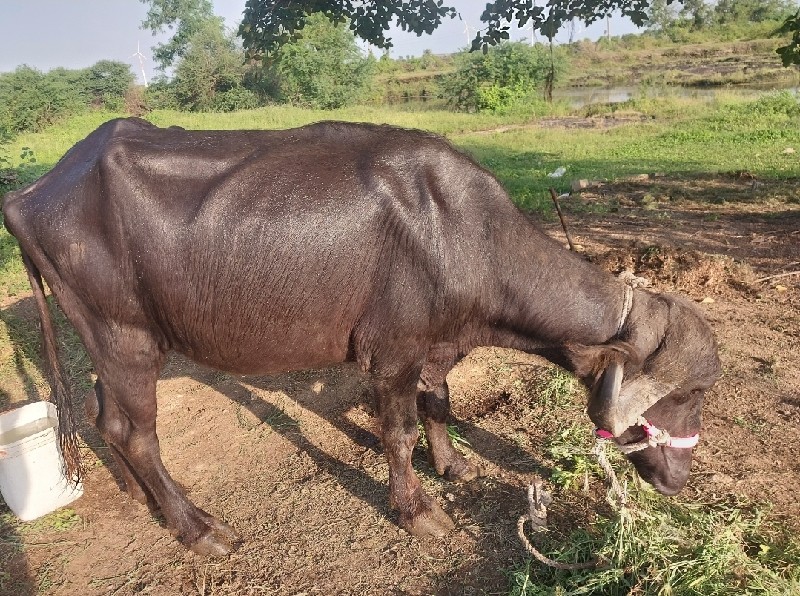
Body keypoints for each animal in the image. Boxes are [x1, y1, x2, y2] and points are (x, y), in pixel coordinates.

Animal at [0, 118, 720, 556]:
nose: (680, 481)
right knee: (135, 431)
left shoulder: (434, 346)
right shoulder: (392, 354)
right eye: (687, 395)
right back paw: (198, 528)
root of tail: (32, 194)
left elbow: (440, 403)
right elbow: (397, 431)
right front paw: (418, 510)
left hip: (103, 340)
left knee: (102, 414)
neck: (462, 234)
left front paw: (452, 463)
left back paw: (140, 495)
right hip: (125, 337)